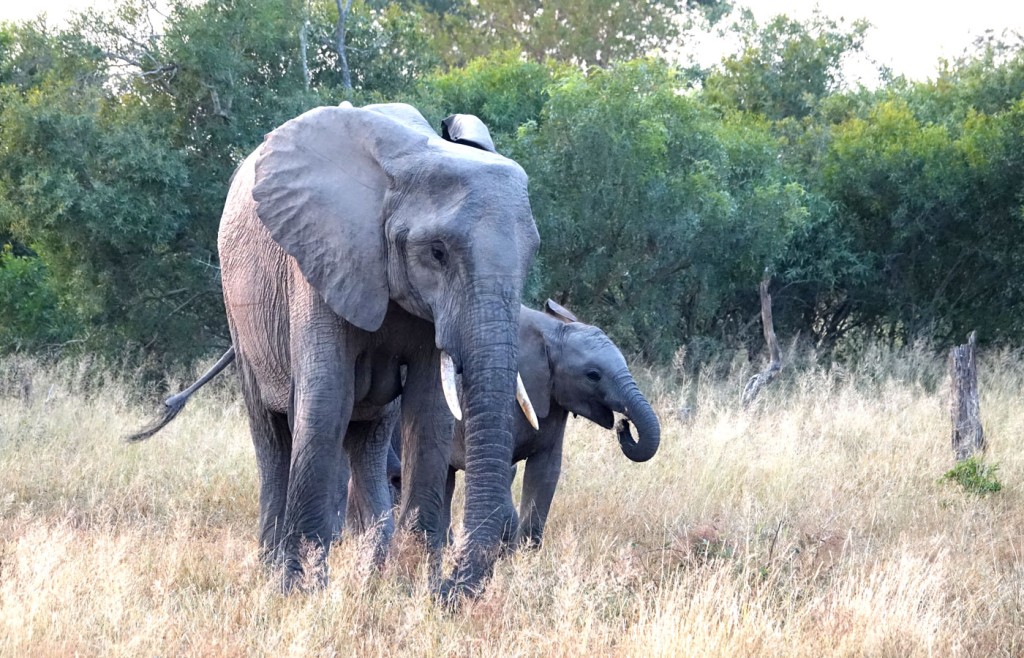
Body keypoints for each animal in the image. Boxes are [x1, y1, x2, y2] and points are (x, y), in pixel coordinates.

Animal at [135, 102, 540, 601]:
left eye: (532, 253)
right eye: (437, 252)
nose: (449, 590)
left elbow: (429, 412)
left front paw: (410, 592)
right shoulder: (318, 259)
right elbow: (325, 400)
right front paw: (300, 592)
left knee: (368, 442)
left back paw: (371, 573)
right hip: (238, 310)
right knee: (272, 437)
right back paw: (271, 571)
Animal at [387, 300, 659, 548]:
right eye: (593, 375)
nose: (623, 425)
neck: (552, 333)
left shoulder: (553, 402)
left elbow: (546, 472)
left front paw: (524, 554)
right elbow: (505, 469)